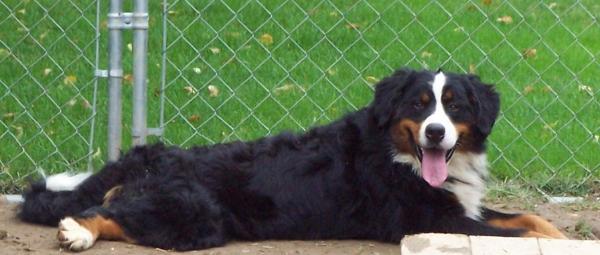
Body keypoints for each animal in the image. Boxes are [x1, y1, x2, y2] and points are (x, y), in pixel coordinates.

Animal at [16, 68, 564, 251]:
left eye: (454, 107)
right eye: (418, 105)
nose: (435, 132)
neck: (398, 156)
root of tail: (147, 154)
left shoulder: (461, 207)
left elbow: (530, 218)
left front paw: (561, 235)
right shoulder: (430, 219)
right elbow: (516, 233)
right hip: (198, 214)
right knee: (106, 213)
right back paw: (77, 232)